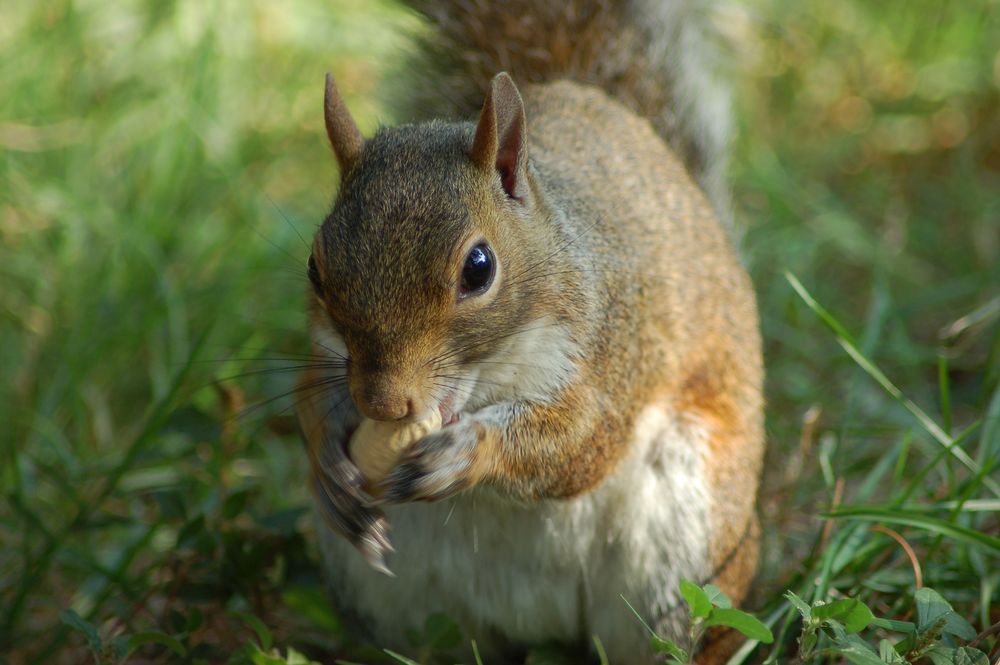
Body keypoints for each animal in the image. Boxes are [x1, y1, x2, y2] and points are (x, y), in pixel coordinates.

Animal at [295, 1, 764, 663]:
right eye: (316, 267)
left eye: (479, 268)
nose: (382, 404)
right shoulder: (325, 354)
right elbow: (306, 400)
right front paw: (332, 469)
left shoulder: (613, 345)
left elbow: (582, 443)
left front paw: (470, 451)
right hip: (394, 601)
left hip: (687, 552)